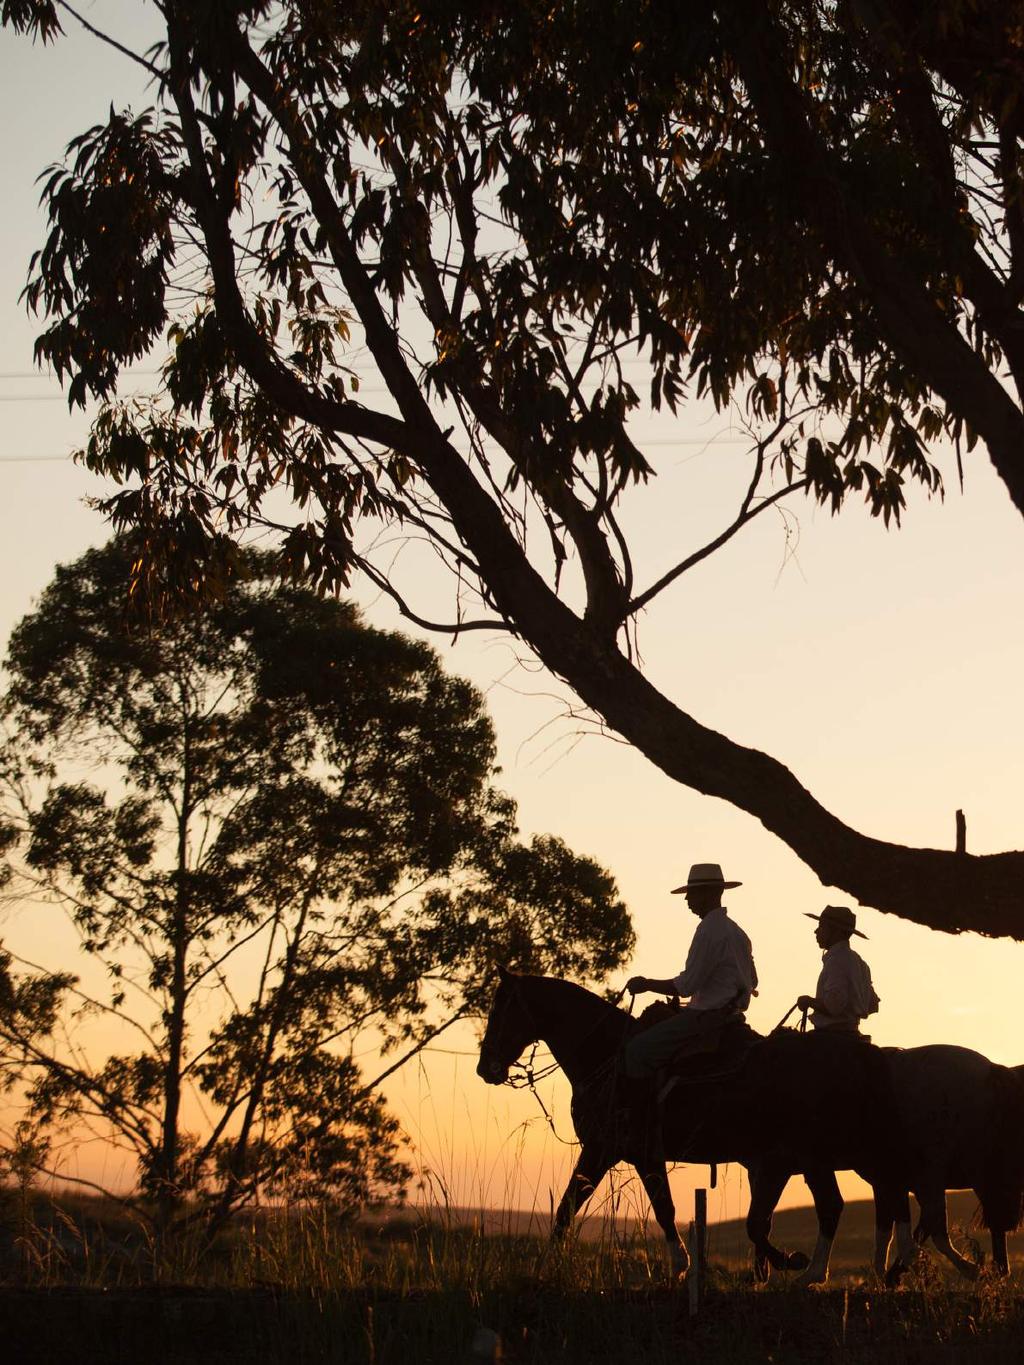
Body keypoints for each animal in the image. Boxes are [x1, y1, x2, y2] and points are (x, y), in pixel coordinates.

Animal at [480, 971, 1024, 1277]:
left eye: (500, 1009)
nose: (487, 1068)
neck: (608, 1054)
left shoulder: (620, 1149)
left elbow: (647, 1208)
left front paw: (682, 1265)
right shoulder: (628, 1153)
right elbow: (575, 1208)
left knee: (892, 1211)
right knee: (893, 1211)